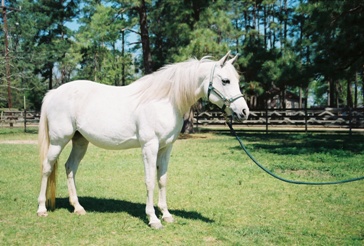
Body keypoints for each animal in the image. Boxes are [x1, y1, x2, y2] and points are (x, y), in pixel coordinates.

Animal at [37, 51, 250, 229]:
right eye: (225, 81)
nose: (244, 111)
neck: (164, 101)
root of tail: (54, 93)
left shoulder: (166, 148)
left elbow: (162, 180)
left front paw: (166, 214)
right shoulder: (150, 147)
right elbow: (149, 181)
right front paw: (153, 219)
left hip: (80, 141)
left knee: (70, 167)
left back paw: (78, 208)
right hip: (58, 141)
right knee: (47, 167)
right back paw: (42, 209)